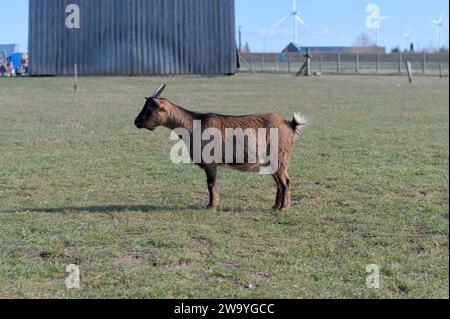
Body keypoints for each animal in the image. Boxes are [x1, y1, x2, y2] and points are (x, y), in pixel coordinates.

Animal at [134, 84, 310, 210]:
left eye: (149, 109)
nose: (136, 122)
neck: (193, 124)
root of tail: (290, 124)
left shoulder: (210, 163)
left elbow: (211, 184)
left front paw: (211, 206)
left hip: (279, 158)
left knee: (285, 181)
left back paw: (283, 208)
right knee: (280, 182)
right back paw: (275, 206)